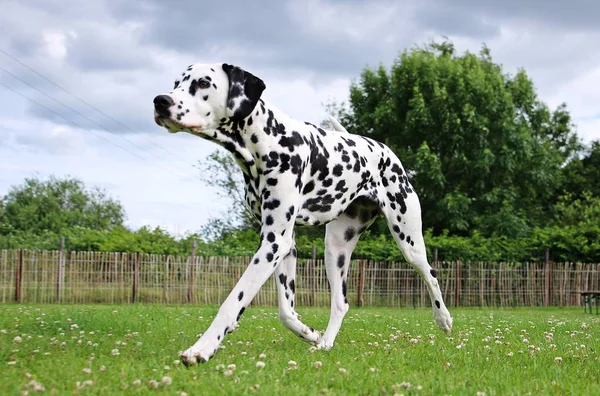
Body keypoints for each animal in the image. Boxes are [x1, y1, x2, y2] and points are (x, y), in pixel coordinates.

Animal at [152, 62, 452, 366]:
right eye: (177, 83)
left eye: (203, 83)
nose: (160, 101)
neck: (268, 140)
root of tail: (383, 150)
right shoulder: (284, 244)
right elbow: (286, 311)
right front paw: (309, 333)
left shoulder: (274, 243)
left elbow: (233, 300)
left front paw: (202, 348)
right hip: (335, 249)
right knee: (341, 303)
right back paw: (326, 343)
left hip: (409, 242)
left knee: (431, 274)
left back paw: (443, 318)